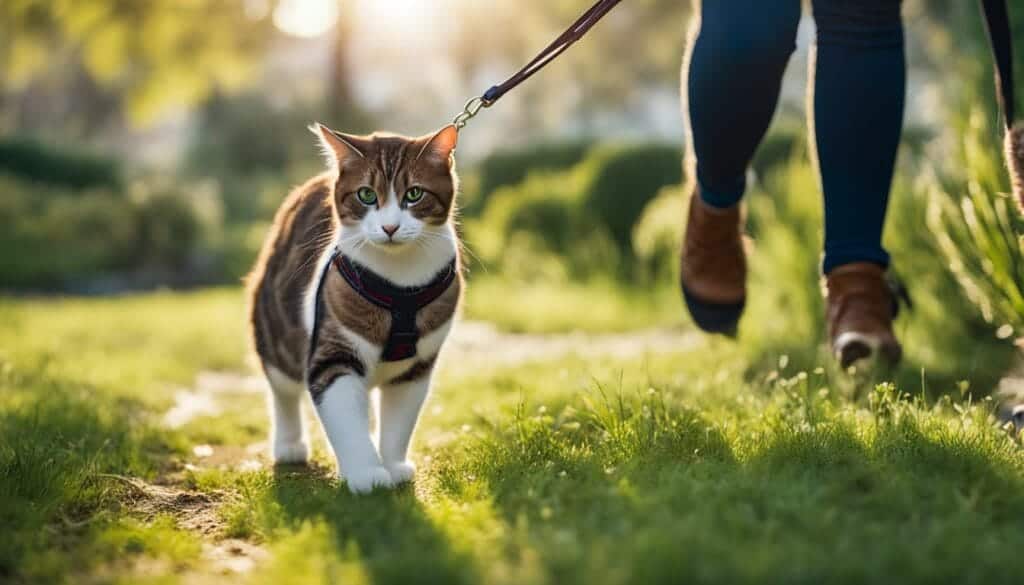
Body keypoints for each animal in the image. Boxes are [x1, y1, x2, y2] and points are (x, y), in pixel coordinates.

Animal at [245, 123, 462, 493]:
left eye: (414, 194)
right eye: (366, 195)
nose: (390, 227)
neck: (399, 279)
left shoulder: (416, 368)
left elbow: (399, 420)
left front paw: (392, 465)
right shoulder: (334, 350)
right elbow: (345, 415)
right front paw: (366, 474)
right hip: (275, 327)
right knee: (282, 388)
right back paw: (289, 444)